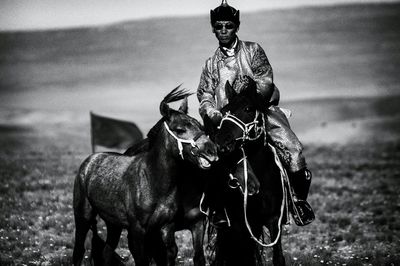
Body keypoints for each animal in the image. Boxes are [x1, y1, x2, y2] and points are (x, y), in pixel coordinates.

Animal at [73, 86, 220, 264]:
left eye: (201, 126)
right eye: (180, 129)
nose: (211, 151)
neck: (153, 181)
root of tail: (90, 160)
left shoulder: (169, 227)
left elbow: (174, 253)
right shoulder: (137, 232)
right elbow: (144, 259)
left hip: (113, 224)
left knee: (106, 253)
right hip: (83, 218)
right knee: (79, 251)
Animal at [209, 79, 288, 266]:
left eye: (248, 109)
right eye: (224, 111)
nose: (221, 141)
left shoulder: (274, 220)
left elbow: (278, 258)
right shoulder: (239, 223)